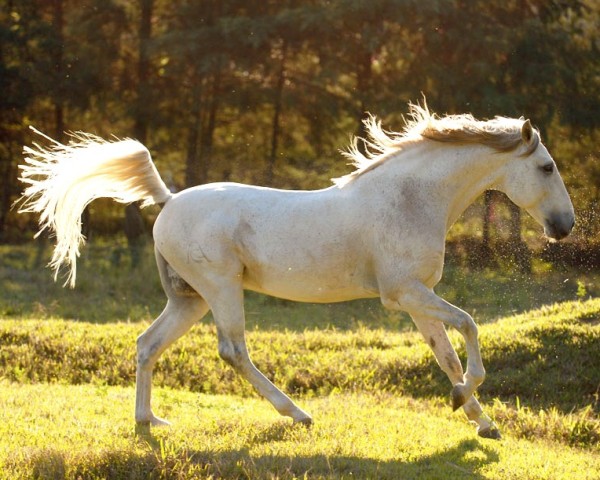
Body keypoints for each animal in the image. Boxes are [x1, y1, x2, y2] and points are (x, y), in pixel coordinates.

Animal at [18, 104, 576, 438]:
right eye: (547, 167)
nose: (565, 226)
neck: (411, 198)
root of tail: (169, 199)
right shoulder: (404, 293)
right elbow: (470, 328)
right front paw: (467, 403)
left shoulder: (418, 300)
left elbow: (447, 357)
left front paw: (480, 420)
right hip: (220, 290)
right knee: (233, 351)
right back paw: (298, 414)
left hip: (188, 299)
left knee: (146, 345)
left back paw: (149, 420)